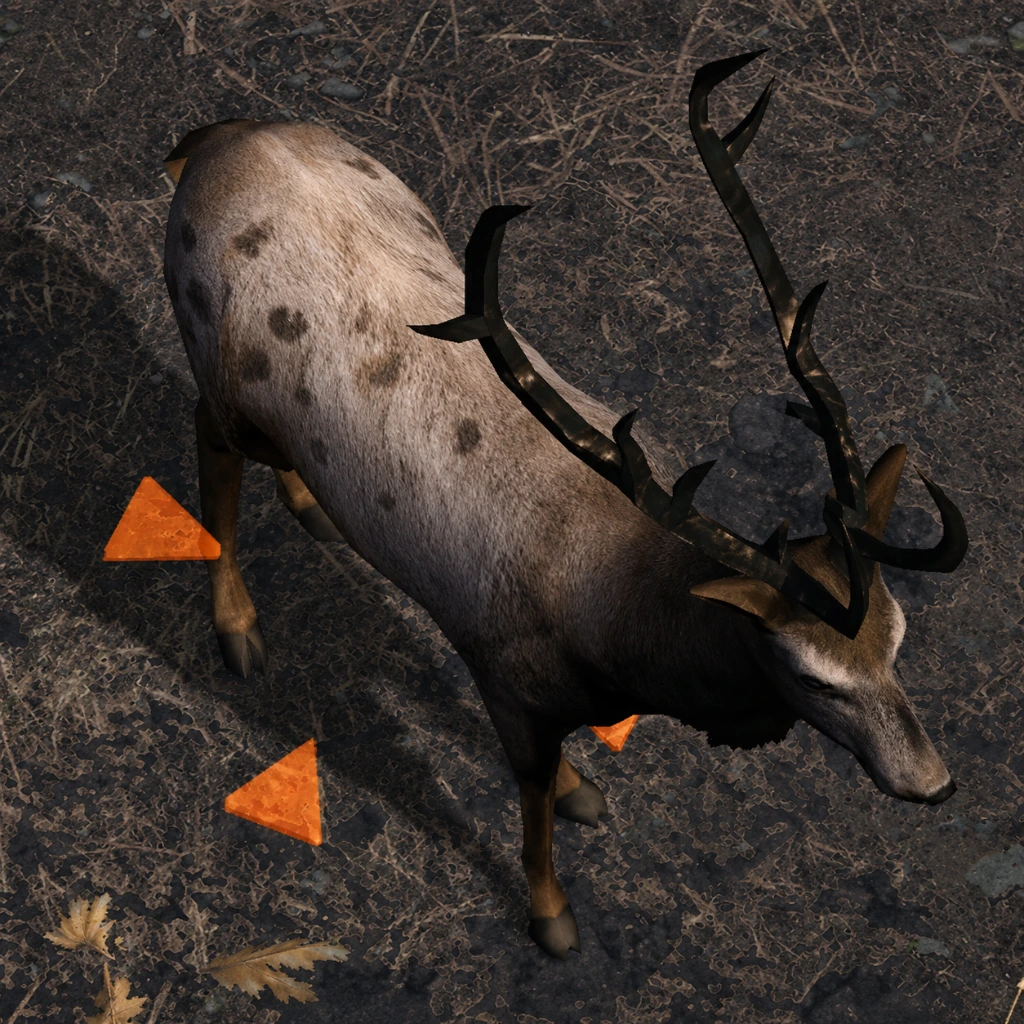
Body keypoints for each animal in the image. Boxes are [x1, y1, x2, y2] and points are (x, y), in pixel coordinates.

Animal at [162, 49, 968, 960]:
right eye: (812, 675)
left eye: (897, 638)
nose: (934, 785)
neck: (623, 634)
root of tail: (216, 140)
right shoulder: (504, 675)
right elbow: (532, 811)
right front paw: (552, 918)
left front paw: (585, 791)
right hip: (219, 370)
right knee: (208, 440)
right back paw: (238, 630)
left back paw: (318, 511)